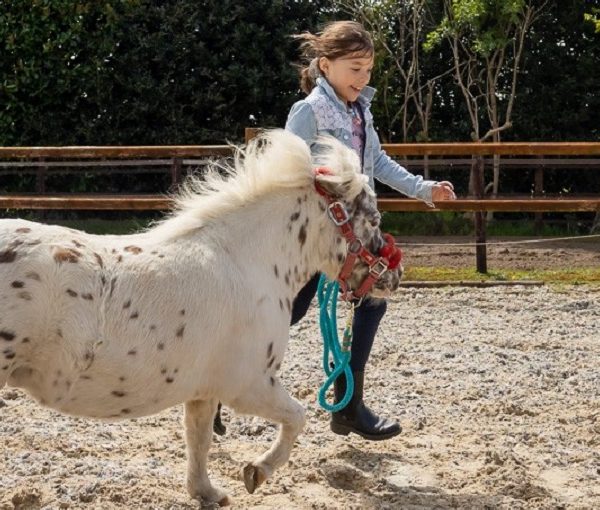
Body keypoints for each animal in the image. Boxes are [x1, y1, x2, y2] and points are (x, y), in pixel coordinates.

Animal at [2, 128, 404, 506]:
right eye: (373, 219)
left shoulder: (204, 390)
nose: (394, 276)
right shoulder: (249, 385)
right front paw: (257, 471)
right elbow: (297, 417)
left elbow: (199, 438)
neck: (245, 260)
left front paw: (207, 492)